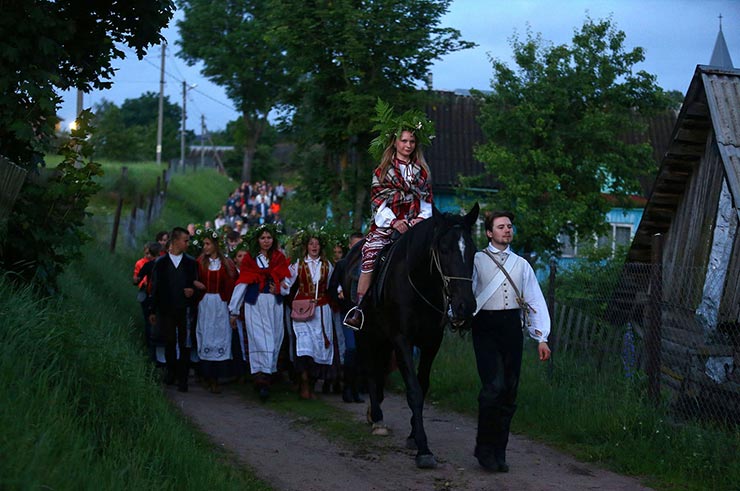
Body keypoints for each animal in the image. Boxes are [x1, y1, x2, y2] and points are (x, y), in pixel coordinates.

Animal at [342, 203, 480, 468]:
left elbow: (423, 386)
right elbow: (414, 390)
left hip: (383, 338)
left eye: (473, 251)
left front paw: (413, 436)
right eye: (444, 250)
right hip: (366, 335)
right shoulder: (401, 340)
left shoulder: (431, 342)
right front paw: (423, 449)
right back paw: (377, 418)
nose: (464, 307)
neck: (419, 282)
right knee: (370, 369)